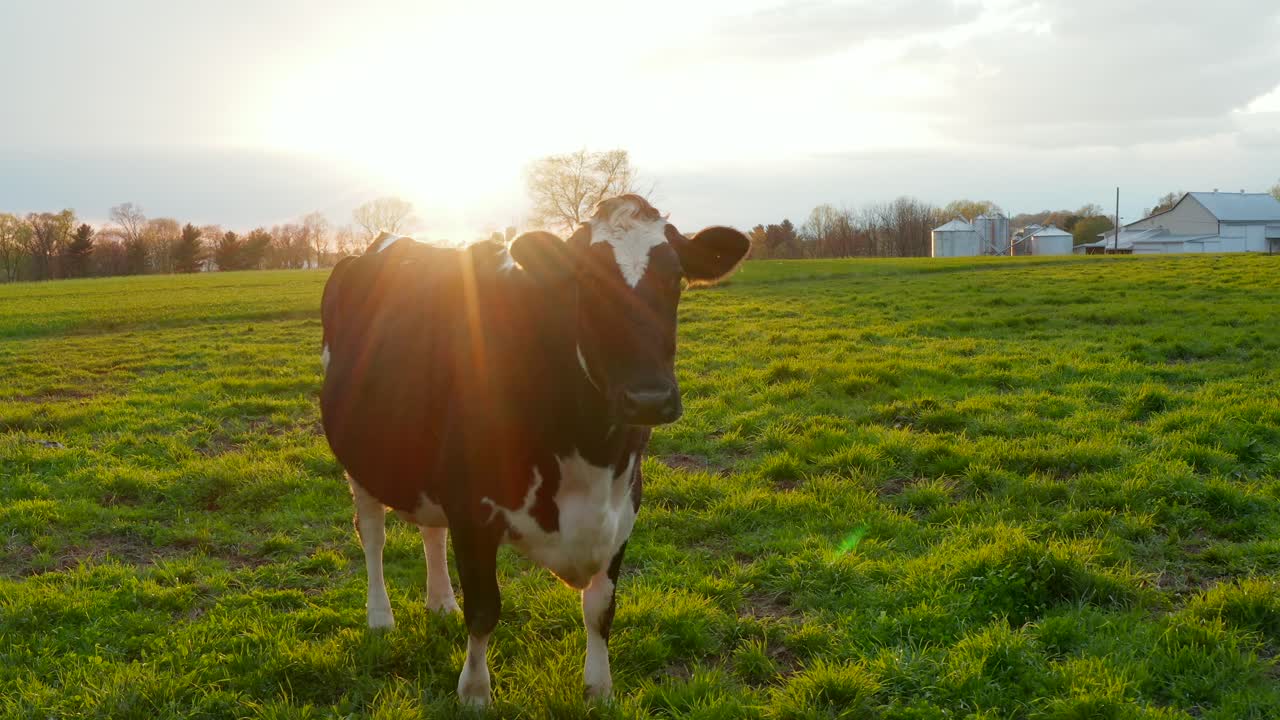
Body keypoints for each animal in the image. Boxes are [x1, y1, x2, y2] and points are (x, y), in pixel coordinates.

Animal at [319, 194, 749, 706]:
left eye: (676, 277)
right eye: (585, 282)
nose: (648, 398)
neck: (592, 452)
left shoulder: (624, 507)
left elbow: (601, 608)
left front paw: (599, 688)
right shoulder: (472, 508)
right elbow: (484, 609)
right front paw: (475, 692)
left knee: (430, 531)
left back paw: (440, 601)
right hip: (360, 459)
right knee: (373, 534)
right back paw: (381, 617)